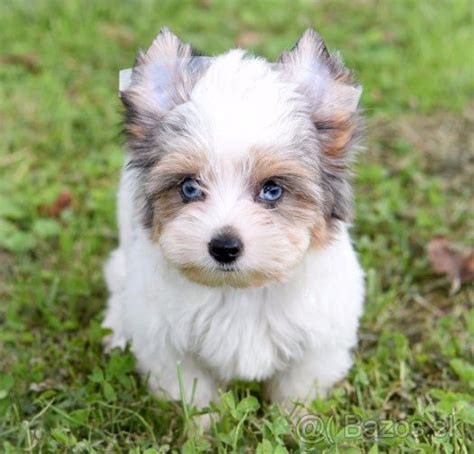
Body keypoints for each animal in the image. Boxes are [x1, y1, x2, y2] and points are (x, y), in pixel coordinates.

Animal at [102, 28, 364, 412]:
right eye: (189, 187)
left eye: (272, 190)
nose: (224, 247)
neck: (241, 291)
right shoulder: (169, 347)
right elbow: (195, 393)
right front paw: (202, 425)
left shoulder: (319, 342)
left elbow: (298, 390)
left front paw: (297, 421)